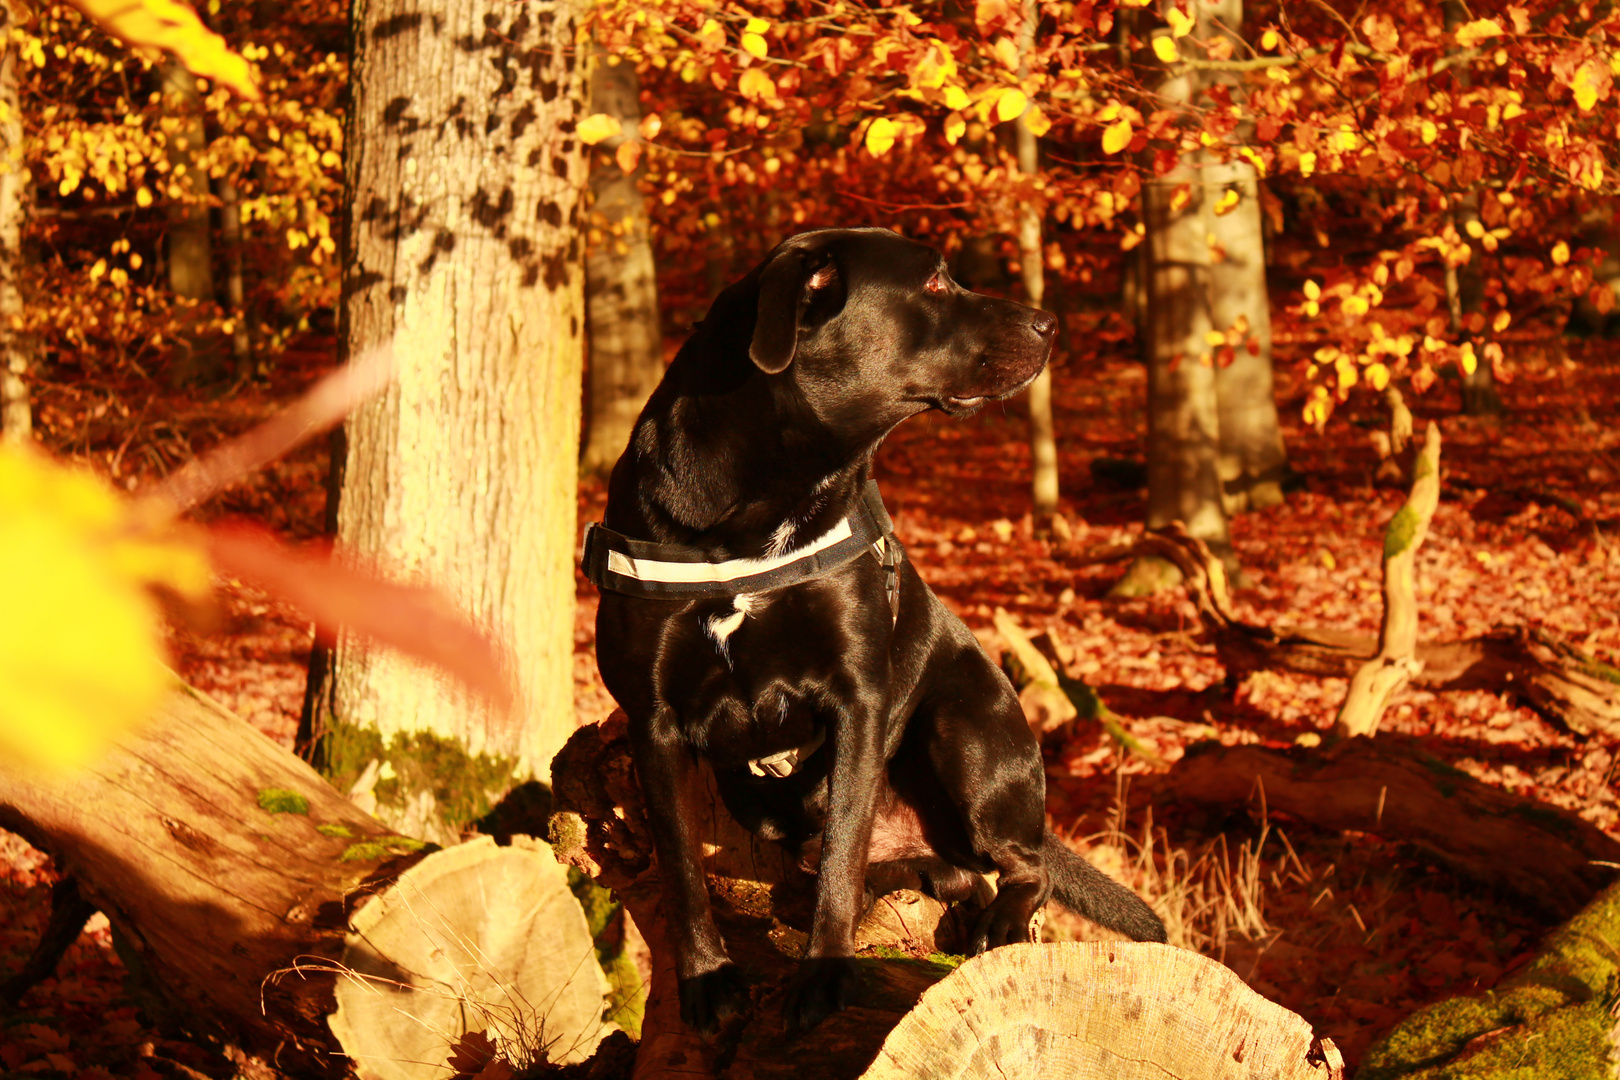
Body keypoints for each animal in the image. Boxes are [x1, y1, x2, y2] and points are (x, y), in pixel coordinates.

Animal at [583, 228, 1166, 1036]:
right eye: (936, 283)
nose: (1049, 322)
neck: (763, 501)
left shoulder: (857, 698)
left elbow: (842, 849)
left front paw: (824, 977)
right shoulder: (654, 720)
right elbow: (681, 866)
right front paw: (707, 981)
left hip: (967, 733)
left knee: (1022, 866)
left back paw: (993, 918)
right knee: (941, 870)